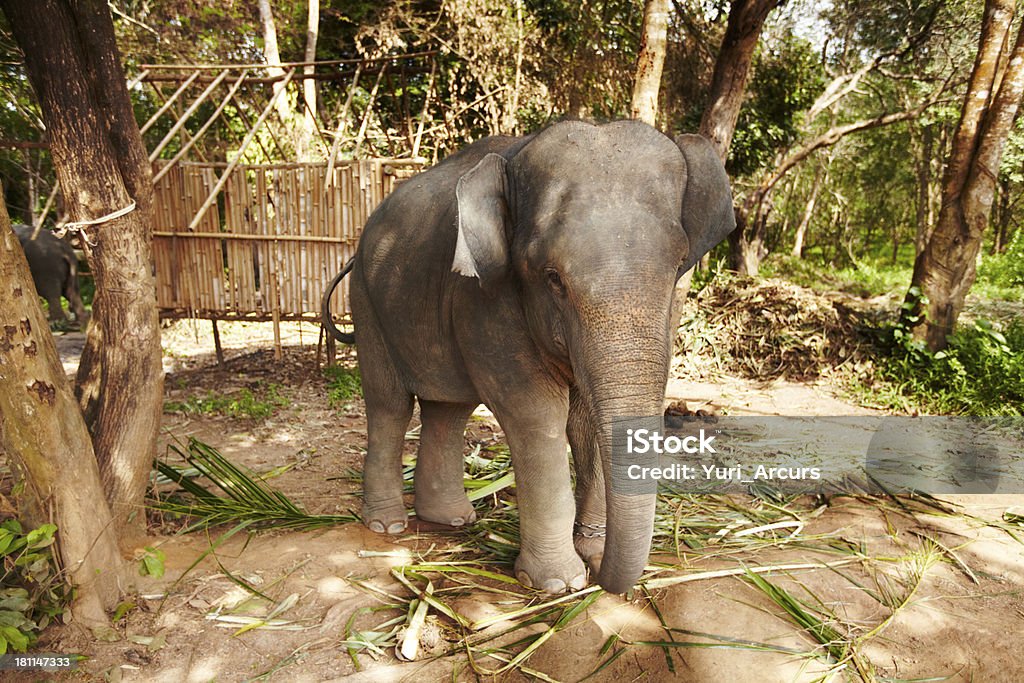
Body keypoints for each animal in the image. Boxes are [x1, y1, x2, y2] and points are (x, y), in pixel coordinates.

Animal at [323, 118, 733, 593]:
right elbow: (535, 412)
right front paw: (560, 583)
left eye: (679, 264)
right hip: (367, 303)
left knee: (449, 408)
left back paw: (452, 520)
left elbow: (586, 418)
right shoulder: (484, 295)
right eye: (552, 277)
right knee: (390, 404)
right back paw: (388, 525)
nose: (601, 575)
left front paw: (591, 551)